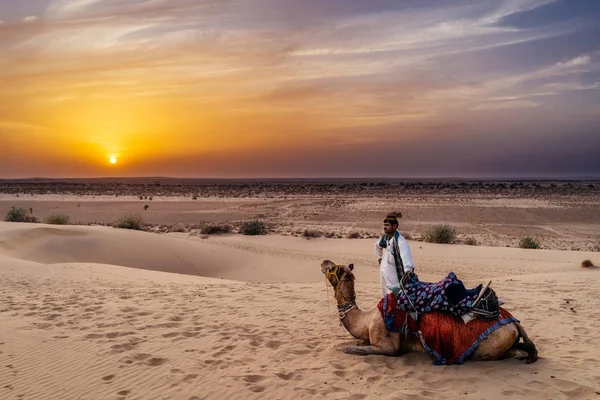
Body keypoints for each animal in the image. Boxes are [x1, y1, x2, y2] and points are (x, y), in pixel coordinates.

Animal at [324, 260, 540, 364]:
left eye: (331, 268)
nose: (323, 262)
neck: (366, 319)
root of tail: (514, 322)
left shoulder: (388, 346)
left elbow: (355, 349)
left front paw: (348, 349)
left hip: (487, 348)